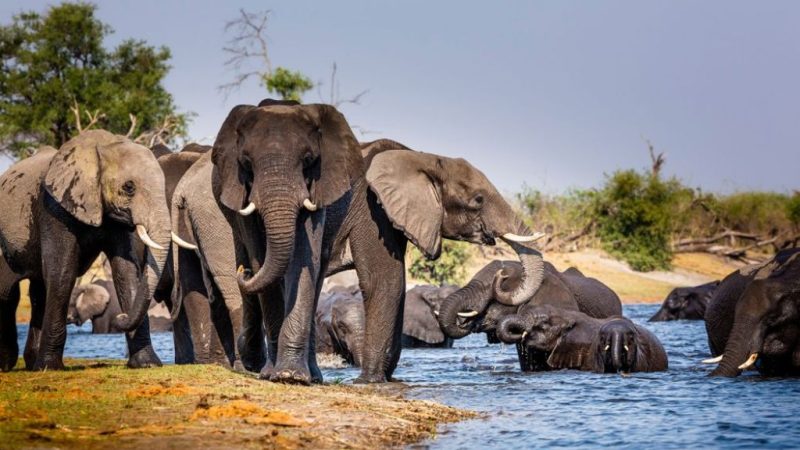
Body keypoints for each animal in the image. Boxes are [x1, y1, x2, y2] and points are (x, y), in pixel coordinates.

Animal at [0, 131, 170, 372]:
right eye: (129, 187)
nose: (120, 317)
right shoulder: (53, 209)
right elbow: (62, 272)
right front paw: (50, 368)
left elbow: (126, 270)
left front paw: (147, 364)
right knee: (7, 290)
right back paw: (7, 365)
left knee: (37, 292)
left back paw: (32, 364)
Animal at [211, 100, 552, 382]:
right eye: (478, 200)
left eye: (310, 160)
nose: (502, 274)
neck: (422, 157)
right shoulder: (369, 207)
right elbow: (382, 277)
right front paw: (370, 381)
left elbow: (393, 282)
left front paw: (384, 378)